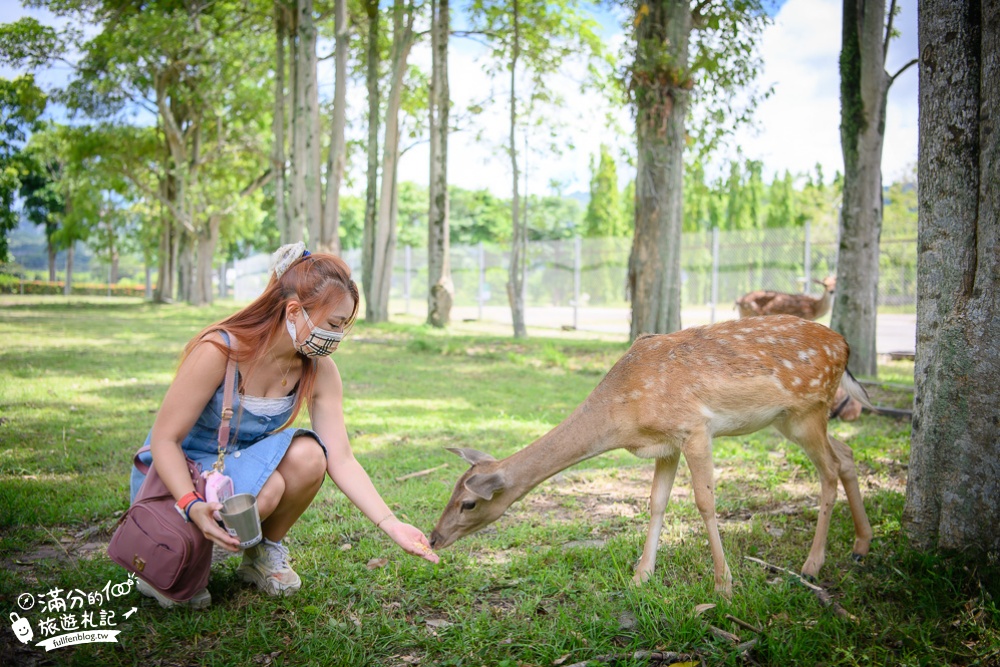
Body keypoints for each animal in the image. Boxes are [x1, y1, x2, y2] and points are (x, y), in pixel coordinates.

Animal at [430, 316, 876, 596]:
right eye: (450, 493)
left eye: (468, 503)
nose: (434, 537)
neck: (624, 414)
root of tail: (846, 347)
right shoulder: (666, 444)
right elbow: (656, 502)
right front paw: (641, 577)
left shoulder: (694, 429)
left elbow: (705, 502)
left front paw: (723, 585)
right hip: (791, 419)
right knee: (846, 453)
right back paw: (861, 546)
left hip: (808, 409)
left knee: (829, 469)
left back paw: (812, 565)